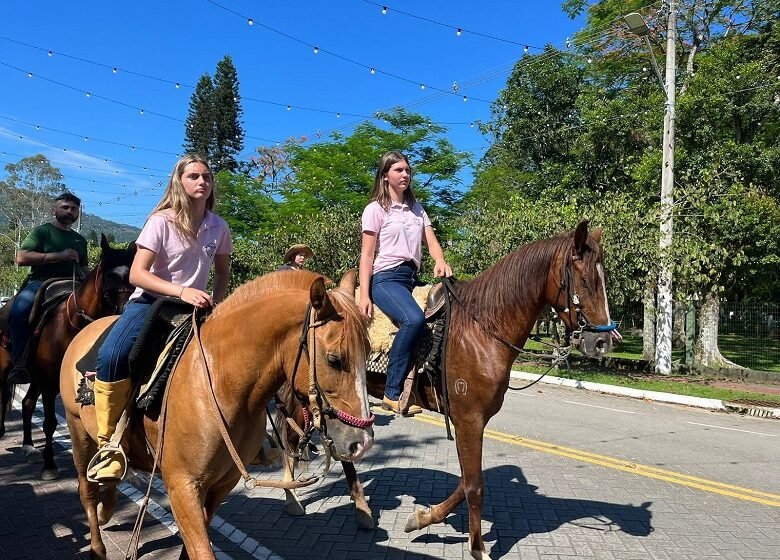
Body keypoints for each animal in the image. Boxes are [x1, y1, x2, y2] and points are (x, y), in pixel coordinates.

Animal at [0, 234, 136, 480]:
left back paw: (28, 446)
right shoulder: (49, 383)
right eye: (110, 276)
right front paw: (49, 465)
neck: (74, 323)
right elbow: (50, 423)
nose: (126, 311)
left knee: (27, 403)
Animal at [62, 270, 376, 556]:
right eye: (334, 359)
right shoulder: (182, 487)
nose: (362, 442)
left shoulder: (222, 484)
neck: (220, 384)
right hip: (78, 432)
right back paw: (98, 543)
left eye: (368, 352)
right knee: (86, 492)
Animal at [362, 221, 620, 556]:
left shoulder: (469, 423)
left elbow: (465, 481)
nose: (602, 342)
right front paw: (478, 548)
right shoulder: (470, 421)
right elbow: (475, 487)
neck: (481, 329)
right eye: (586, 280)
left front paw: (422, 518)